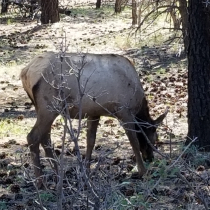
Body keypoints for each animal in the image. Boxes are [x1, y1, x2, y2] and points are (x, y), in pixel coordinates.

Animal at [20, 52, 167, 185]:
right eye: (154, 138)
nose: (150, 158)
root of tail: (25, 72)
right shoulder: (124, 112)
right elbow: (134, 142)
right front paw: (143, 172)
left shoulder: (95, 113)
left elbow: (90, 141)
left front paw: (87, 172)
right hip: (49, 106)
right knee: (33, 137)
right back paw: (41, 183)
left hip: (43, 108)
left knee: (45, 138)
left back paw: (58, 176)